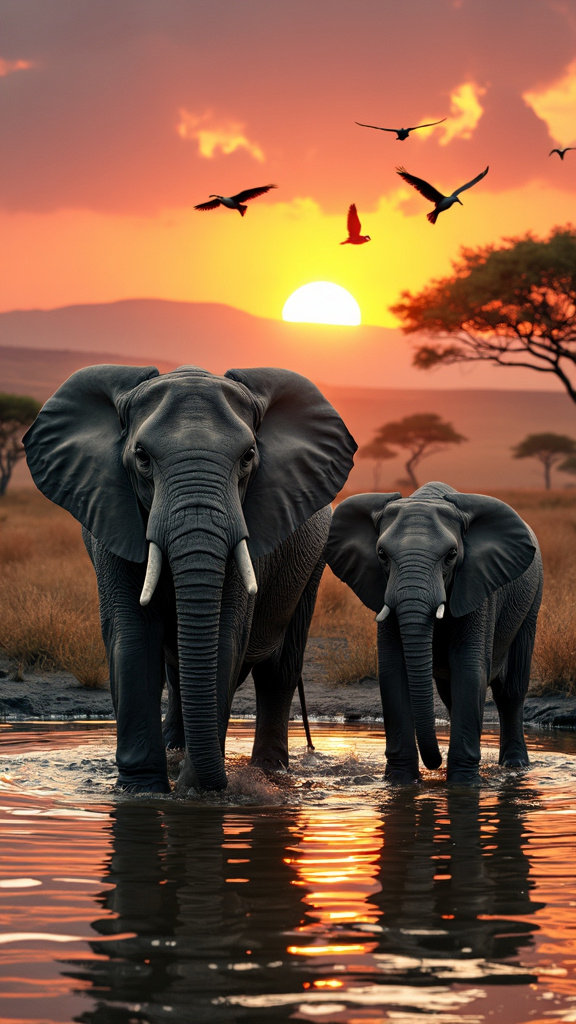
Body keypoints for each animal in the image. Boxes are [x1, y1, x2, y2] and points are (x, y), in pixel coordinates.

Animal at [25, 364, 354, 794]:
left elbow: (226, 636)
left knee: (279, 670)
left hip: (312, 562)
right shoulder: (112, 517)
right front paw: (143, 791)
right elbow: (131, 635)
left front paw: (196, 790)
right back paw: (177, 752)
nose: (217, 784)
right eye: (142, 457)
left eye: (248, 457)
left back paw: (270, 772)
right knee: (178, 670)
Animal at [325, 479, 541, 782]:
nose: (433, 764)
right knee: (451, 695)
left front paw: (464, 784)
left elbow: (469, 669)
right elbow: (392, 670)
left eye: (451, 555)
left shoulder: (477, 587)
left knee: (510, 690)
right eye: (381, 554)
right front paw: (399, 782)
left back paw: (515, 766)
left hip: (532, 601)